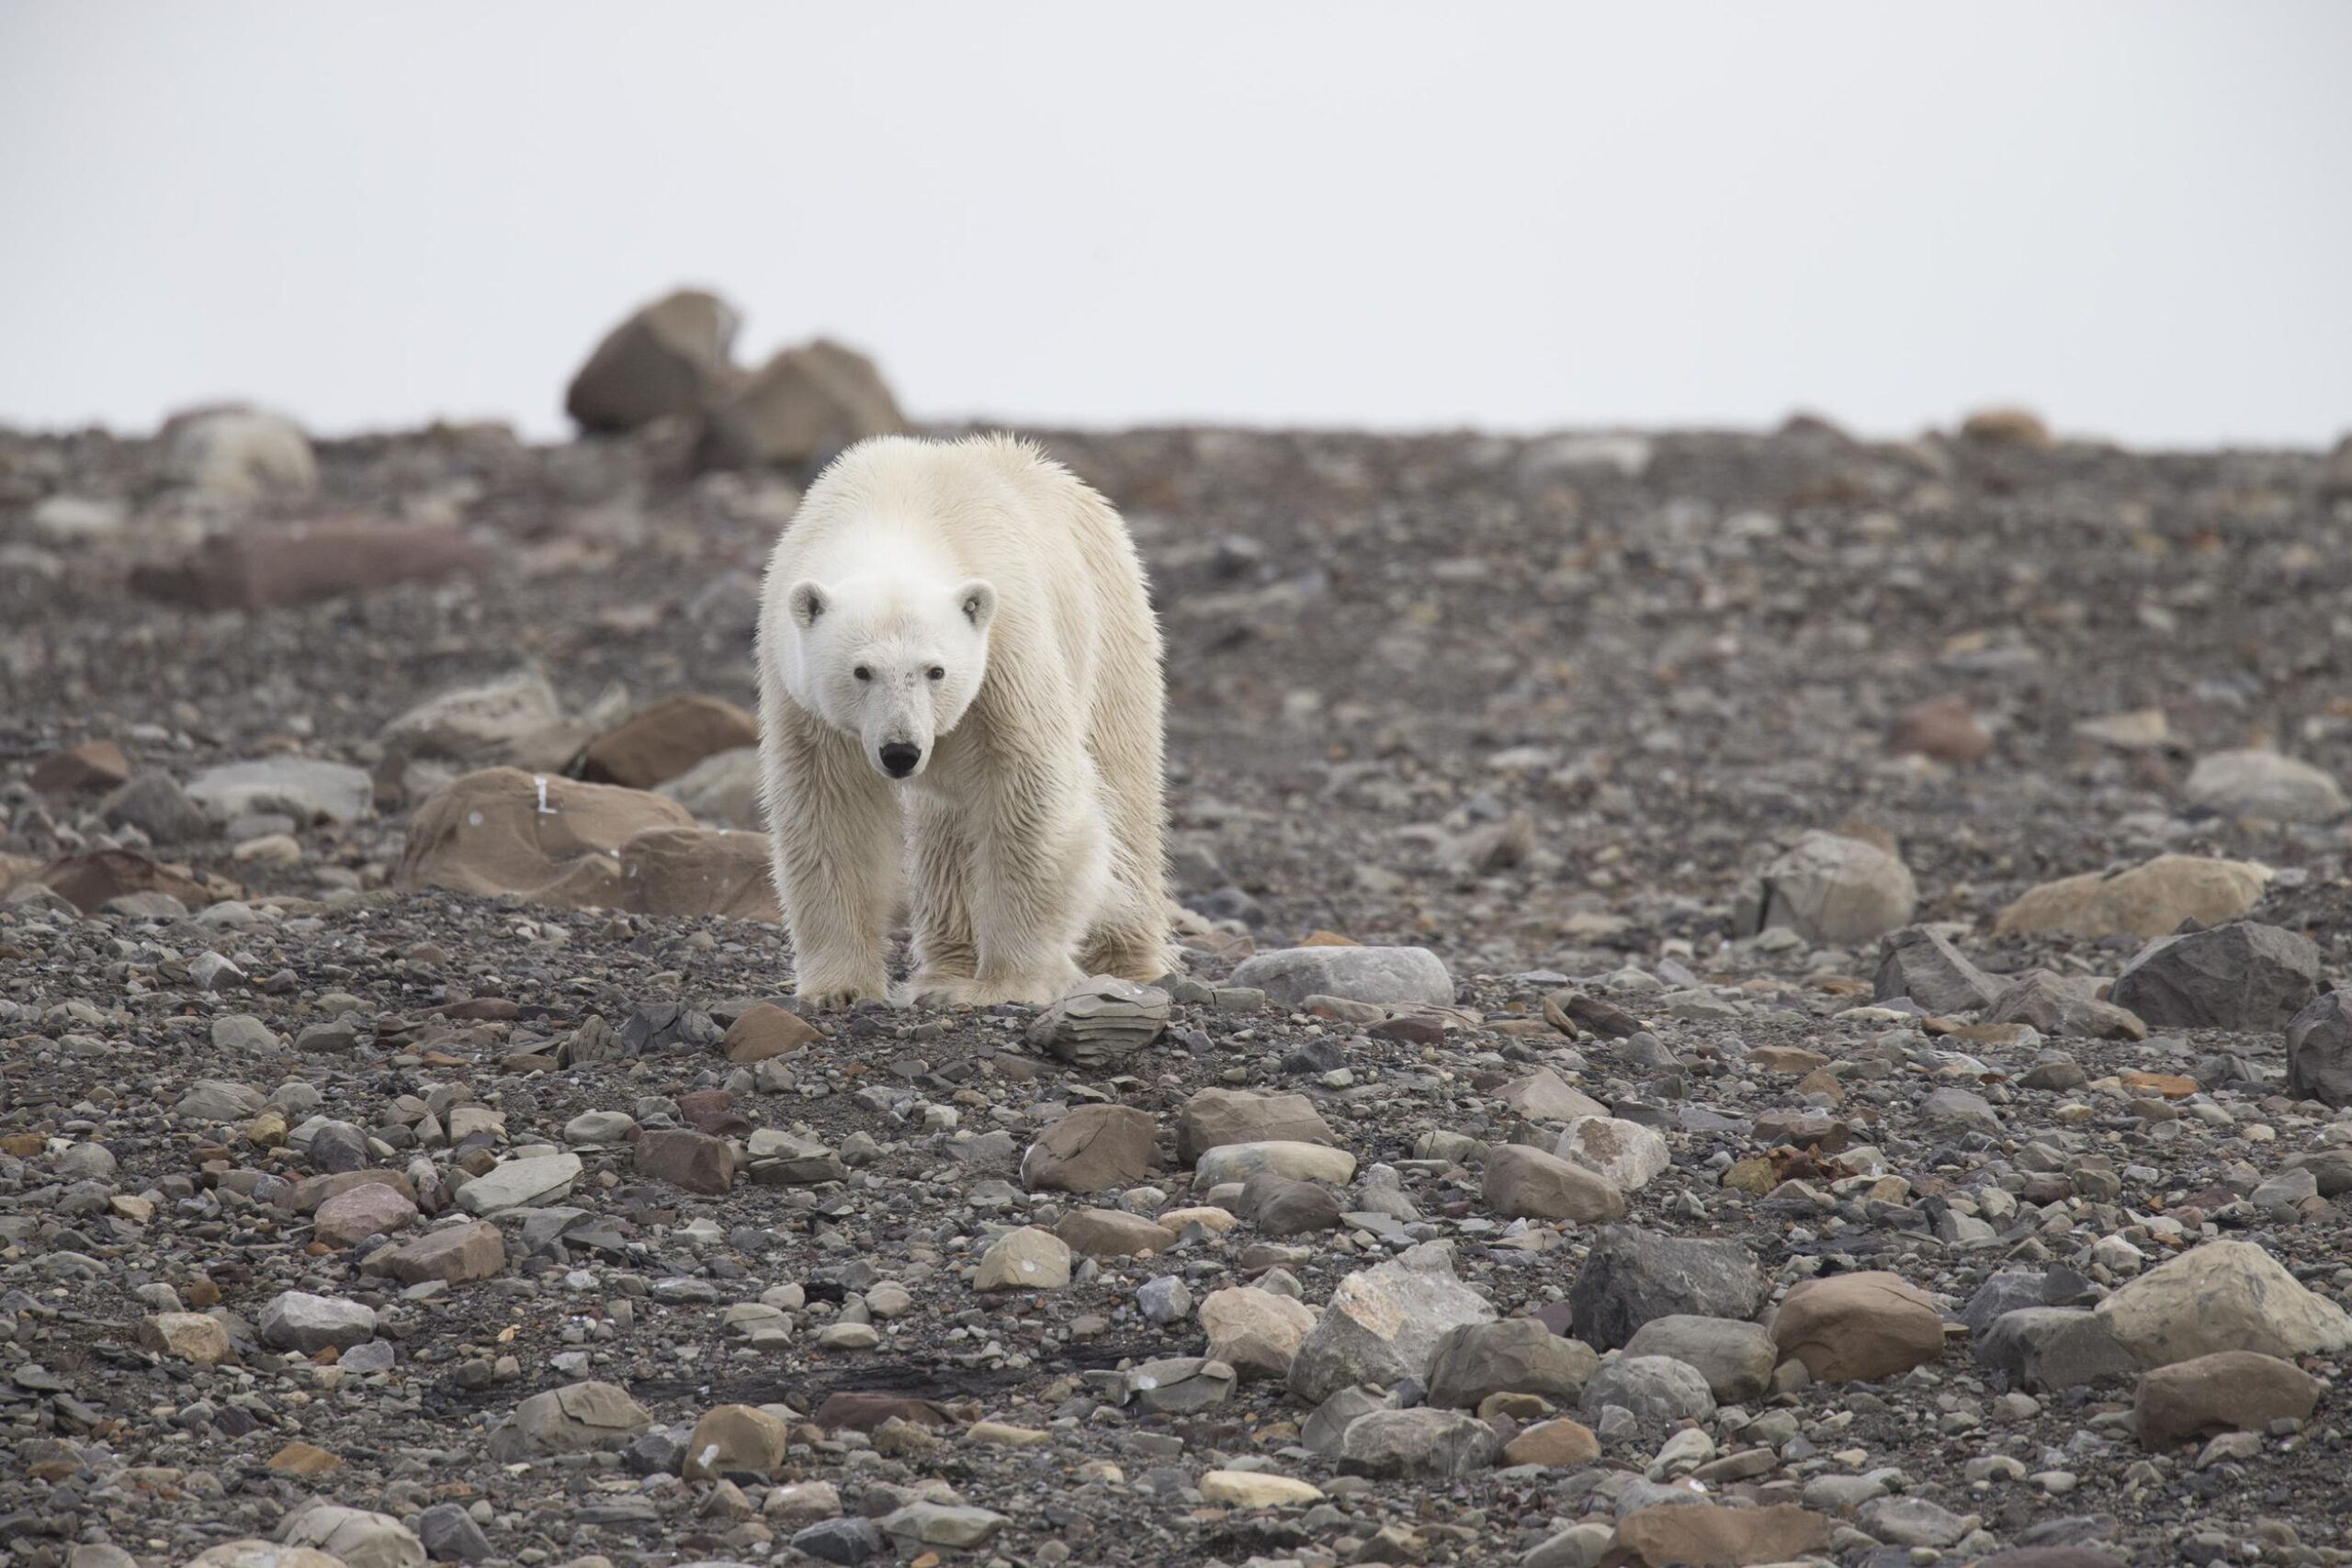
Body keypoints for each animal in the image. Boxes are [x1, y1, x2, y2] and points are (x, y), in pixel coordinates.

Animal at [755, 433, 1176, 1008]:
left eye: (936, 670)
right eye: (861, 671)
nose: (901, 751)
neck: (894, 511)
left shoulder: (1006, 652)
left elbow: (1028, 790)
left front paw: (1008, 983)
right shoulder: (802, 693)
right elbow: (831, 806)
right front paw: (839, 987)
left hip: (1112, 630)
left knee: (1124, 786)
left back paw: (1126, 960)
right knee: (946, 831)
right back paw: (945, 970)